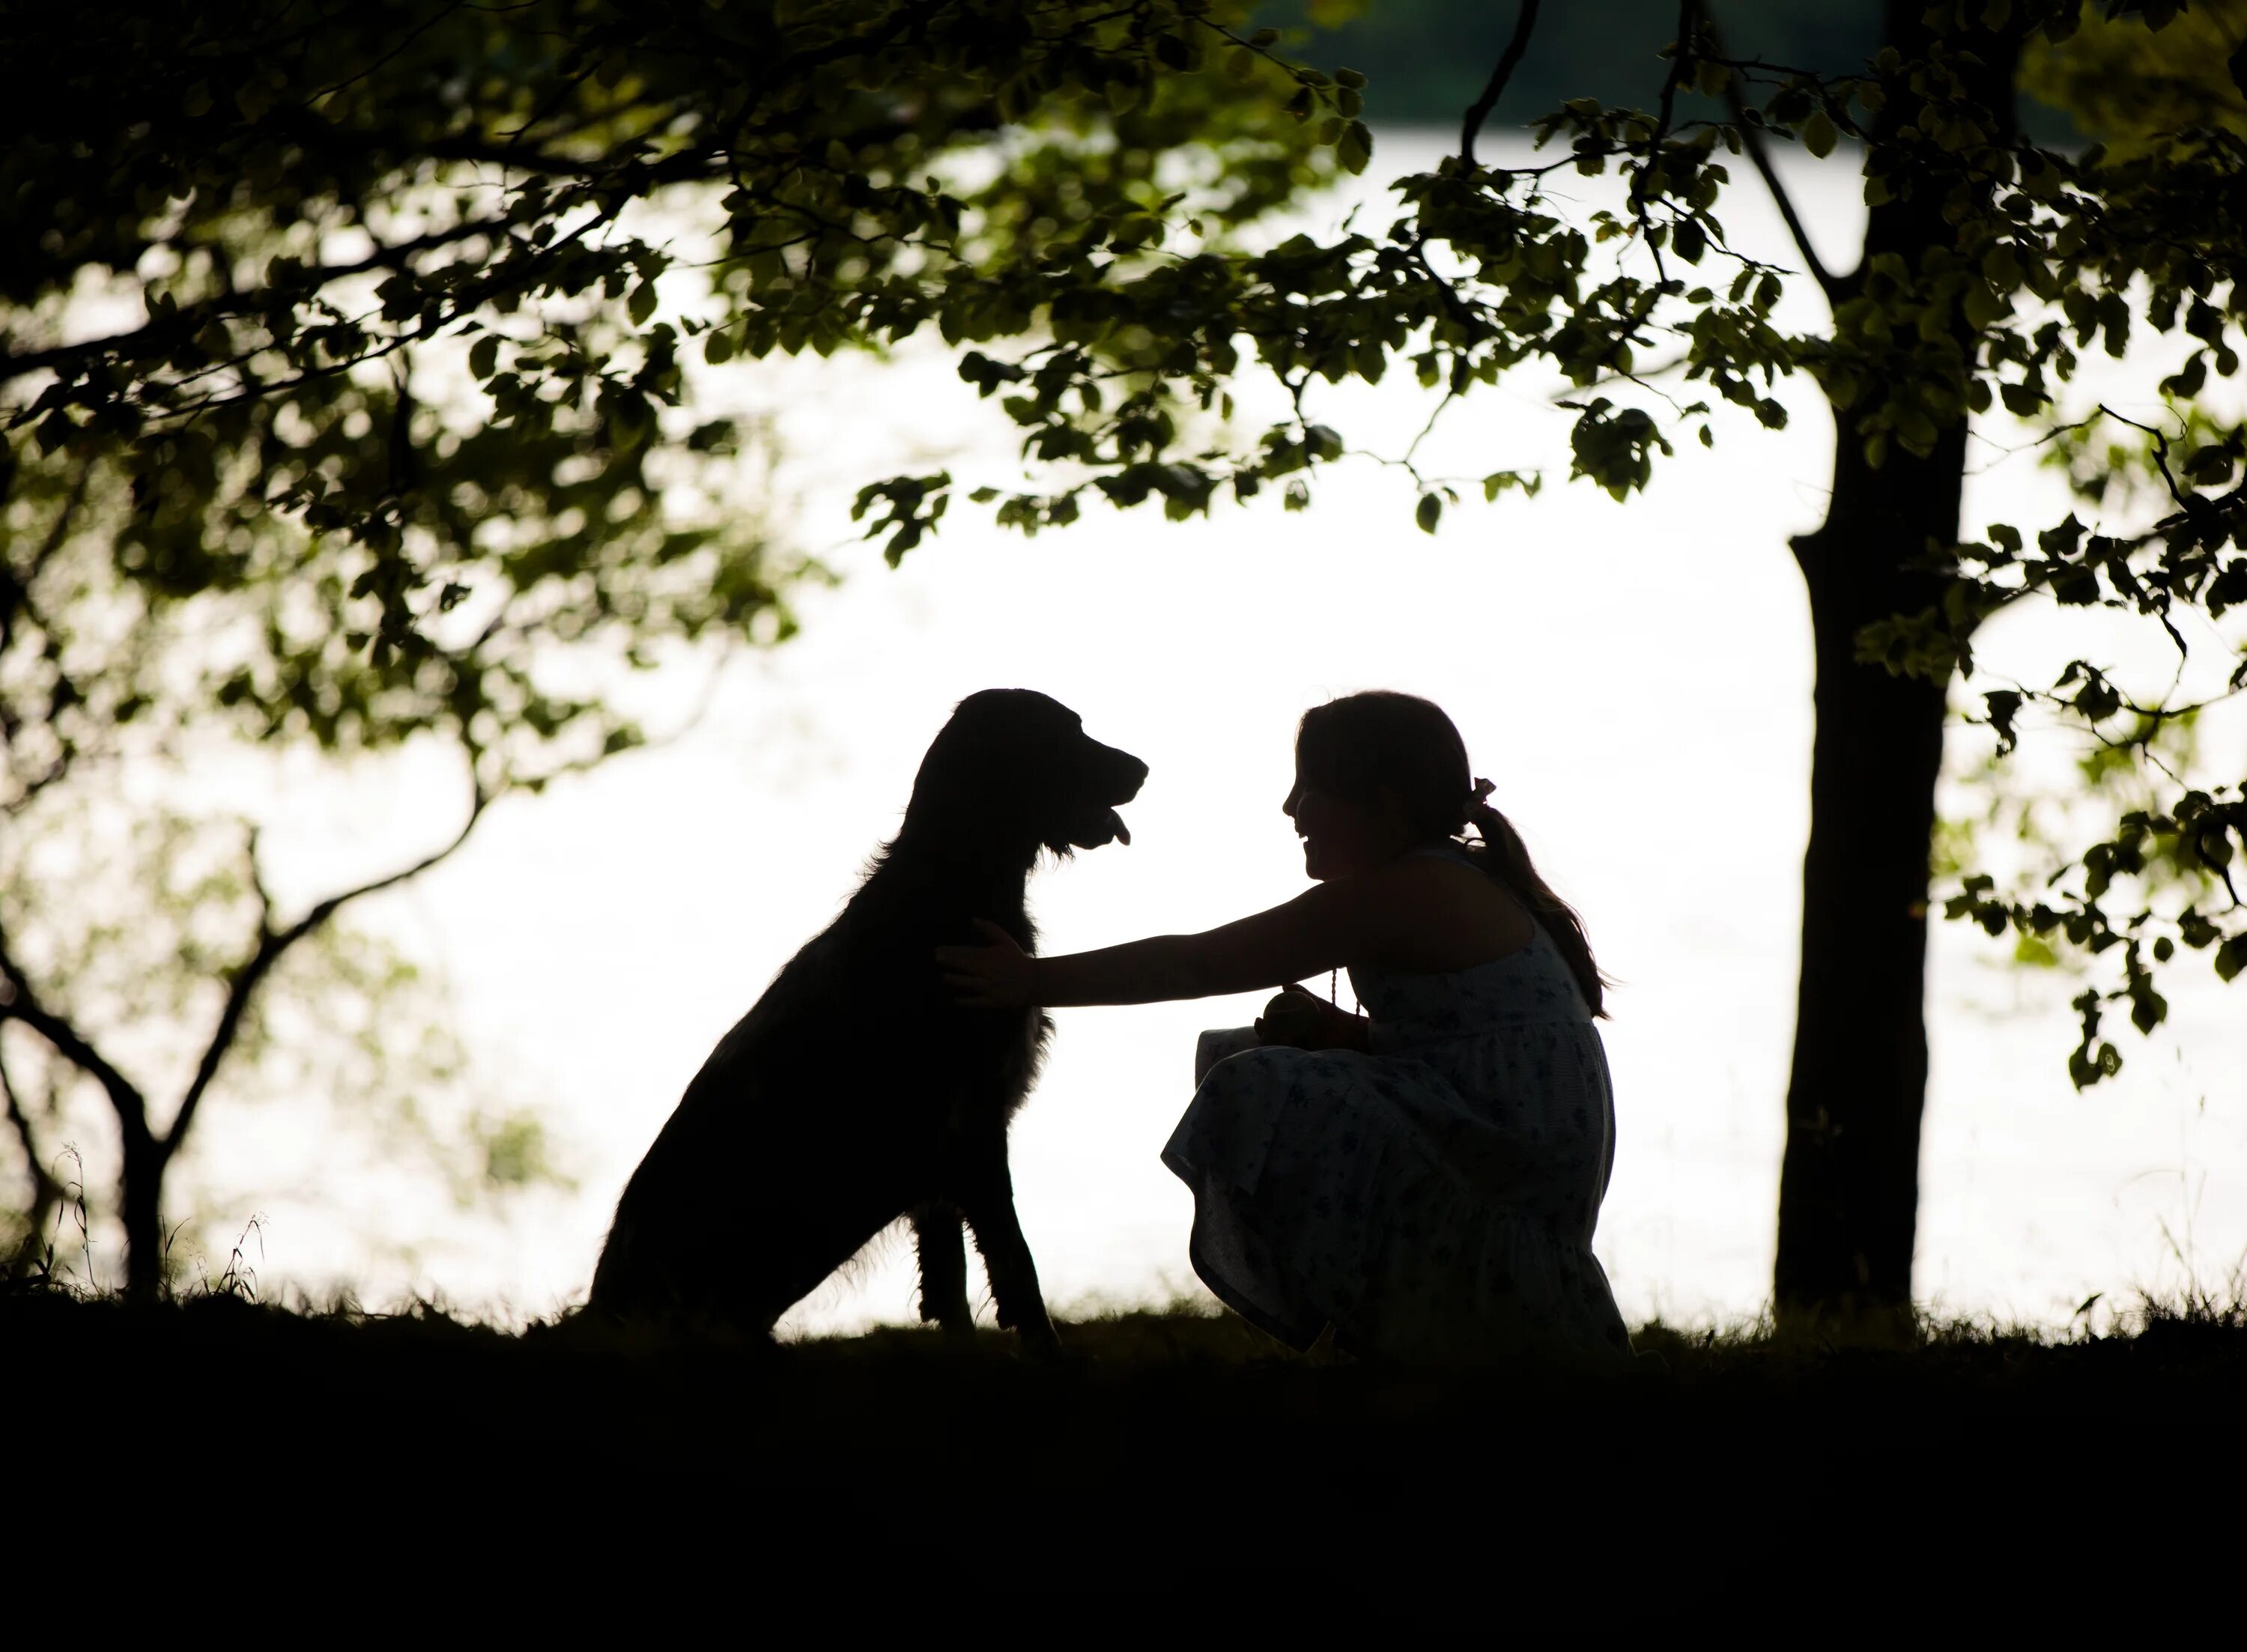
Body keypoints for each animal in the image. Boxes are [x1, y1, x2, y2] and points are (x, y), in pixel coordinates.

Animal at [584, 692, 1141, 1348]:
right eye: (1065, 733)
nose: (1143, 769)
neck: (950, 890)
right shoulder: (972, 1126)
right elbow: (1015, 1264)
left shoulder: (942, 1160)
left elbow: (950, 1277)